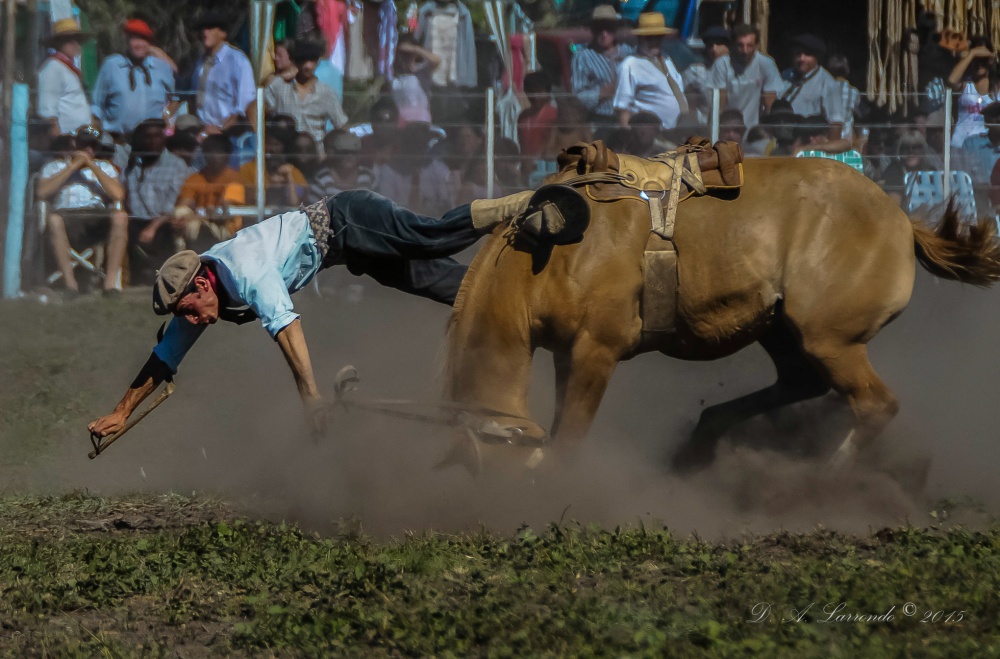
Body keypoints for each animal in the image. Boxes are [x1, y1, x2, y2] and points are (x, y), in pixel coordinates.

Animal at [448, 154, 1000, 472]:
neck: (549, 256)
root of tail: (900, 219)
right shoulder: (568, 353)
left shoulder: (593, 351)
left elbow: (569, 438)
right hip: (780, 329)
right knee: (801, 382)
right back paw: (699, 442)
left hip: (831, 339)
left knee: (874, 405)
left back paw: (820, 482)